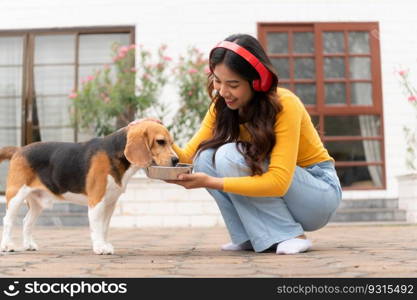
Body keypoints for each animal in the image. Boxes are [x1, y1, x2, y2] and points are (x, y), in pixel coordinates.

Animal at [0, 120, 177, 254]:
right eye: (160, 142)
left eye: (171, 143)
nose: (176, 160)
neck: (115, 152)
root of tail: (19, 150)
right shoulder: (96, 201)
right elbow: (97, 227)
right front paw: (100, 247)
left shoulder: (110, 203)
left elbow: (104, 227)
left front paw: (104, 244)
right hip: (16, 196)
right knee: (8, 220)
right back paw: (8, 246)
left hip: (38, 202)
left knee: (27, 221)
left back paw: (29, 245)